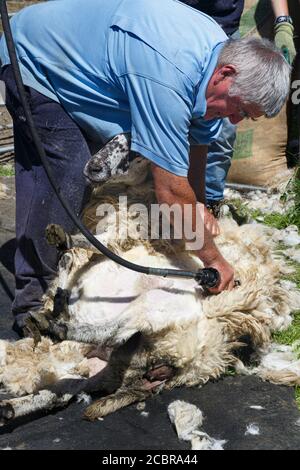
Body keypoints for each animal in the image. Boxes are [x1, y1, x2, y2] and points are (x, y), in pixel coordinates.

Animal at [0, 171, 298, 424]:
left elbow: (104, 240)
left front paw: (66, 245)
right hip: (118, 361)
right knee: (63, 391)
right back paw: (11, 406)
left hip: (150, 319)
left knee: (106, 331)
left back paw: (52, 318)